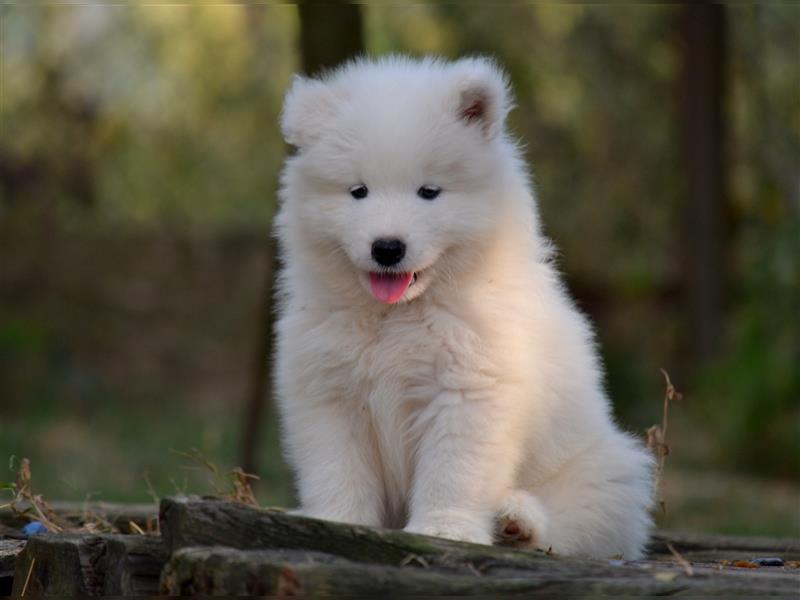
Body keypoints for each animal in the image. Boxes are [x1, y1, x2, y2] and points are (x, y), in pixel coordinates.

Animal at [272, 55, 652, 556]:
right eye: (358, 191)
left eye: (429, 192)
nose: (387, 248)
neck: (399, 315)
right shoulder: (329, 390)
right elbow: (338, 466)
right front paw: (335, 520)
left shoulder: (470, 390)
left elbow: (453, 470)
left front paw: (444, 529)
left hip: (604, 473)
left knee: (577, 527)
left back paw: (516, 522)